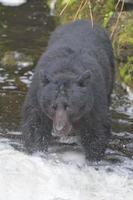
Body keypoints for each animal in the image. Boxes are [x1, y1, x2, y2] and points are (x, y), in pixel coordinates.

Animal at [21, 19, 115, 161]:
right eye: (53, 106)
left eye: (69, 107)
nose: (59, 129)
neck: (66, 70)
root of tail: (84, 20)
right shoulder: (37, 94)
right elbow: (35, 124)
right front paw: (37, 151)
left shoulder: (94, 99)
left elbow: (96, 129)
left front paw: (92, 158)